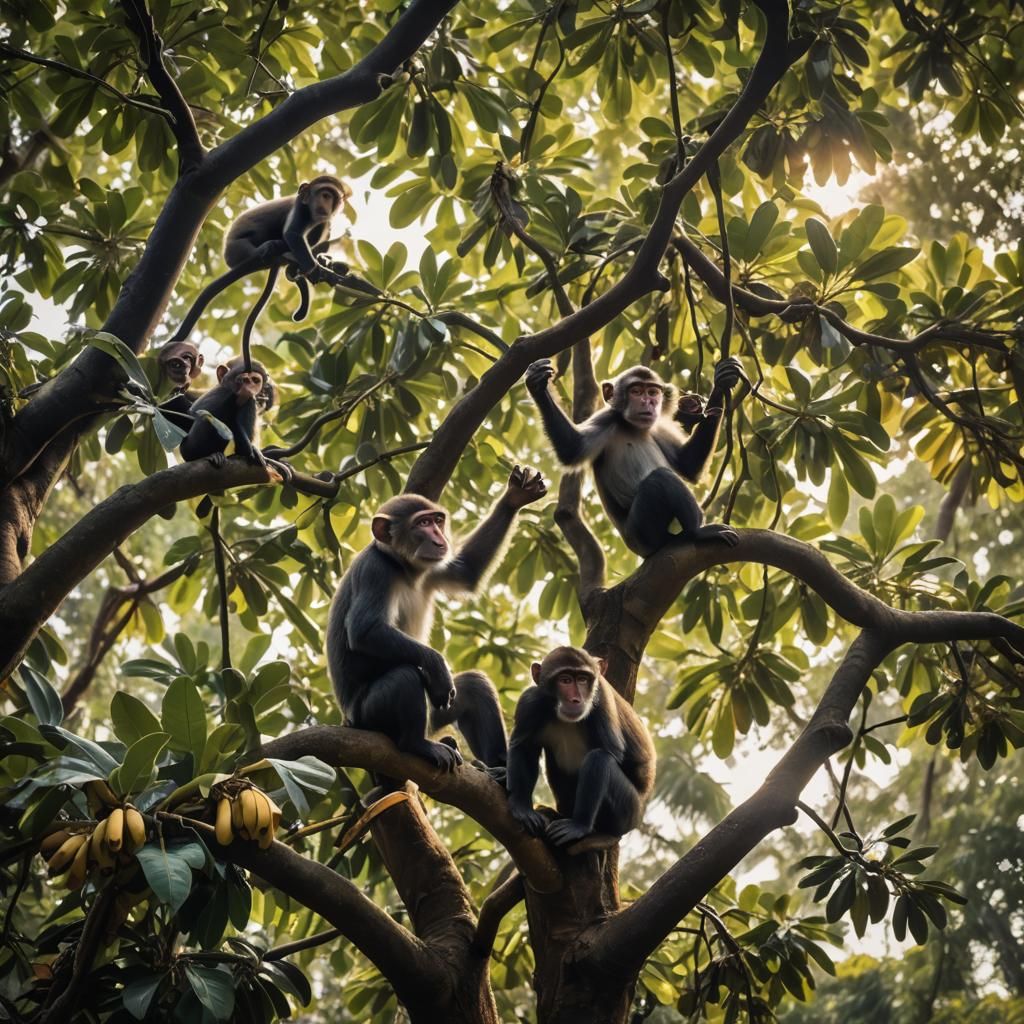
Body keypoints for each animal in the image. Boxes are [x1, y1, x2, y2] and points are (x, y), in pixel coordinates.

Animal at [167, 175, 352, 370]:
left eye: (332, 197)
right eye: (324, 194)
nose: (326, 203)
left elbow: (318, 231)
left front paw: (322, 261)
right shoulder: (301, 208)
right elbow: (293, 234)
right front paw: (313, 268)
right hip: (237, 250)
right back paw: (270, 250)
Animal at [326, 468, 548, 786]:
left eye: (437, 521)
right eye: (422, 523)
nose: (438, 536)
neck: (403, 568)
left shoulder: (431, 570)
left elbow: (467, 570)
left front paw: (516, 496)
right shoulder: (375, 570)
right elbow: (364, 630)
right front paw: (436, 663)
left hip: (434, 717)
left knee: (472, 686)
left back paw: (501, 770)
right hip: (368, 719)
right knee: (405, 676)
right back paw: (417, 745)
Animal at [506, 646, 656, 847]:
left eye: (583, 679)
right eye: (565, 680)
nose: (576, 699)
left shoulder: (601, 699)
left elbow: (609, 754)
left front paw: (579, 826)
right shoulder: (529, 701)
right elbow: (524, 746)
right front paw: (523, 808)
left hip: (629, 811)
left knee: (599, 758)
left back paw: (588, 828)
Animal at [525, 357, 744, 557]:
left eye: (652, 392)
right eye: (636, 391)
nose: (648, 402)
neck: (633, 427)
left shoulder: (658, 426)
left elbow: (688, 464)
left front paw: (722, 381)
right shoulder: (607, 419)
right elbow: (572, 448)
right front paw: (537, 385)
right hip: (644, 530)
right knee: (660, 478)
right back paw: (696, 532)